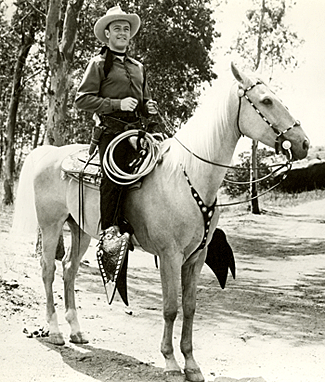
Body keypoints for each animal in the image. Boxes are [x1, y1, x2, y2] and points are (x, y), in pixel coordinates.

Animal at [11, 63, 308, 382]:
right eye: (266, 101)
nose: (303, 143)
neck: (187, 176)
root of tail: (50, 152)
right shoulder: (169, 255)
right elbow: (170, 308)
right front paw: (170, 361)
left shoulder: (196, 256)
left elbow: (189, 307)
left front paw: (192, 363)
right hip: (51, 225)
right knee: (48, 271)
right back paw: (55, 331)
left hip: (80, 230)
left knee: (68, 270)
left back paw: (77, 331)